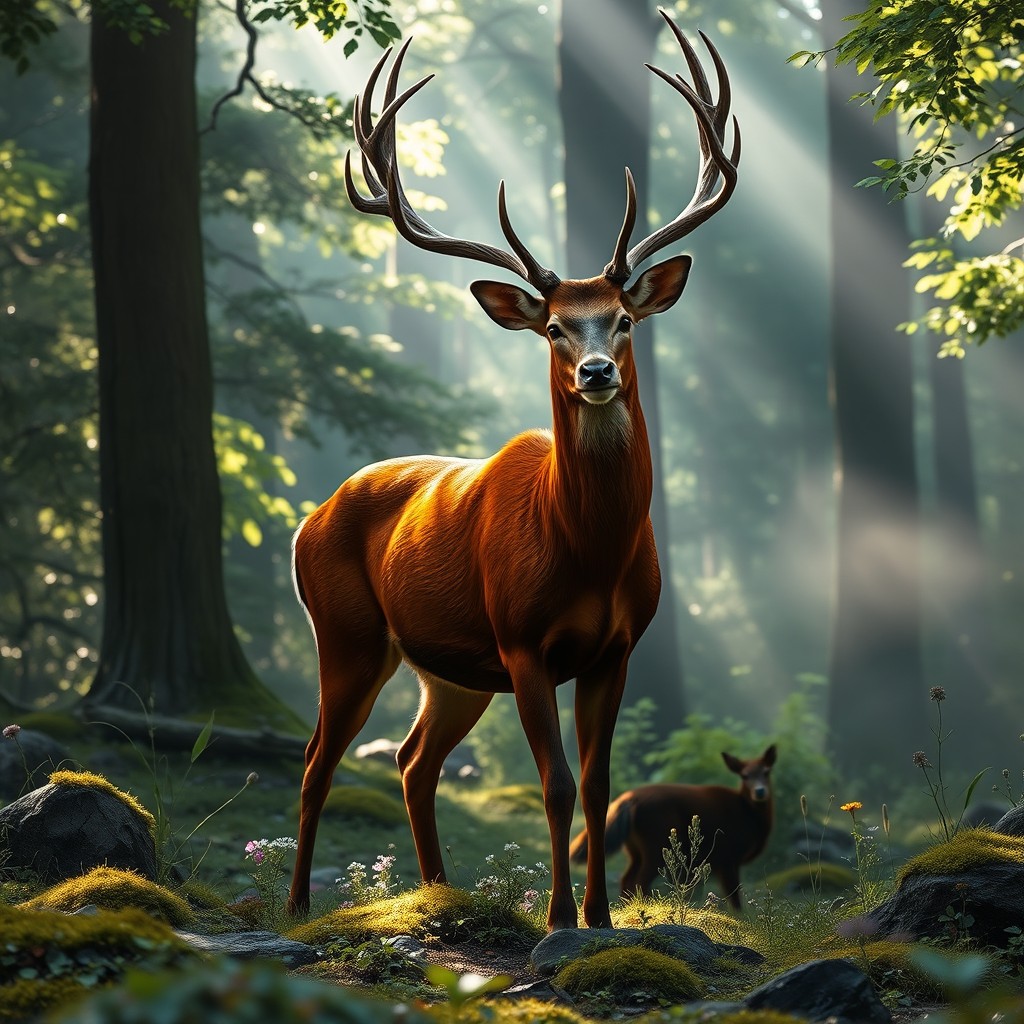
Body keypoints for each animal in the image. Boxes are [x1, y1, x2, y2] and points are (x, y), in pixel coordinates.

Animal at [286, 10, 740, 932]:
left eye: (624, 318)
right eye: (556, 328)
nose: (595, 372)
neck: (588, 550)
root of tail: (308, 521)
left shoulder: (617, 646)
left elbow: (599, 784)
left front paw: (599, 918)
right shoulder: (524, 638)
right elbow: (556, 783)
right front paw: (561, 917)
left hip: (450, 669)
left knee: (412, 760)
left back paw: (436, 889)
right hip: (348, 631)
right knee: (316, 758)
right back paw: (297, 906)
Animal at [569, 745, 776, 911]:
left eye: (766, 772)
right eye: (745, 775)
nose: (759, 791)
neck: (747, 818)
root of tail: (628, 800)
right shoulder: (727, 856)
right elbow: (734, 898)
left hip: (635, 849)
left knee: (626, 879)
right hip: (655, 844)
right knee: (639, 881)